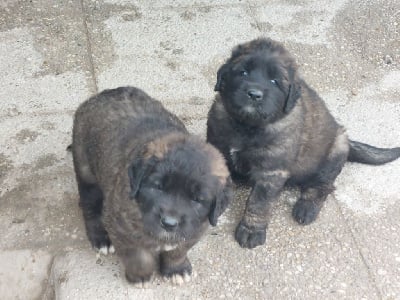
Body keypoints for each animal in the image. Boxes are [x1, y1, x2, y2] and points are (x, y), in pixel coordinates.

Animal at [72, 86, 231, 284]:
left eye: (197, 199)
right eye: (158, 187)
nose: (169, 223)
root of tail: (105, 93)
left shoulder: (194, 229)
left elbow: (178, 251)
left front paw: (176, 269)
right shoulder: (121, 227)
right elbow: (138, 256)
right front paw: (140, 276)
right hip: (87, 171)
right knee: (90, 206)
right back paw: (100, 238)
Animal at [206, 37, 400, 248]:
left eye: (274, 81)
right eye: (243, 72)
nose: (254, 94)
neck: (246, 126)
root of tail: (347, 141)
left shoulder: (271, 172)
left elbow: (258, 203)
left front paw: (251, 230)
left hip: (335, 151)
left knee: (322, 185)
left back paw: (306, 207)